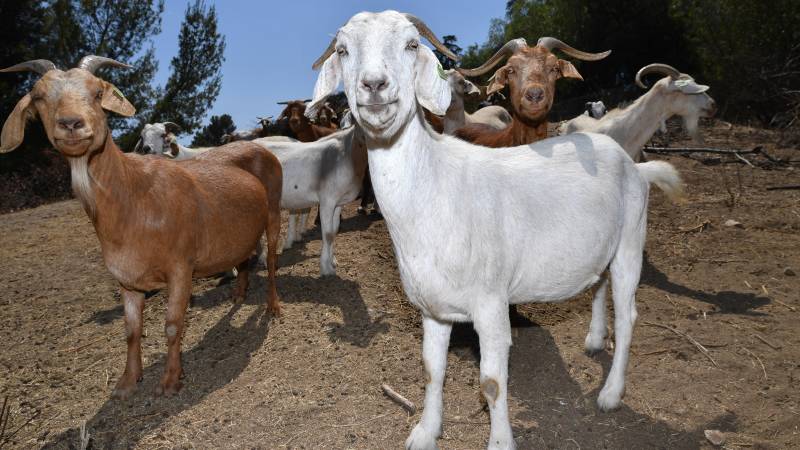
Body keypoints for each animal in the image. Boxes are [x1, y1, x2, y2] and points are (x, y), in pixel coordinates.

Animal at [2, 55, 284, 400]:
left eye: (98, 92)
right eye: (39, 96)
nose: (70, 124)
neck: (134, 196)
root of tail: (261, 147)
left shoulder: (181, 268)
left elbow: (173, 325)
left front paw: (171, 380)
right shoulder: (127, 280)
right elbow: (131, 331)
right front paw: (127, 381)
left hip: (274, 212)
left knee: (271, 261)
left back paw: (273, 307)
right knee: (244, 257)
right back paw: (239, 294)